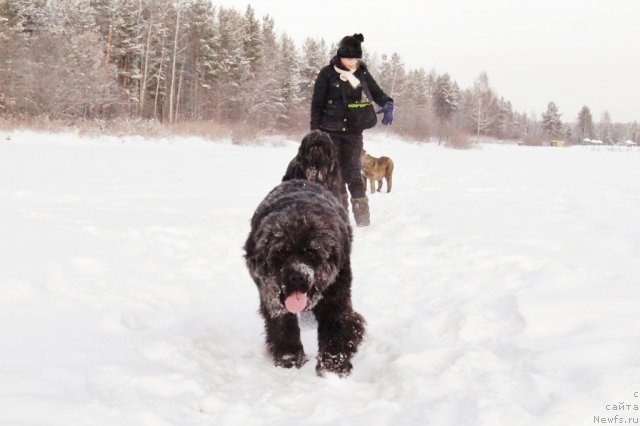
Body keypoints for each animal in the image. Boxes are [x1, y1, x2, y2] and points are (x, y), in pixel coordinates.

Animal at [244, 179, 364, 376]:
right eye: (281, 253)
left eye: (311, 253)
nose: (297, 277)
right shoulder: (271, 298)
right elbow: (283, 327)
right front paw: (290, 361)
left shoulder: (335, 296)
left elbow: (335, 327)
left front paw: (333, 368)